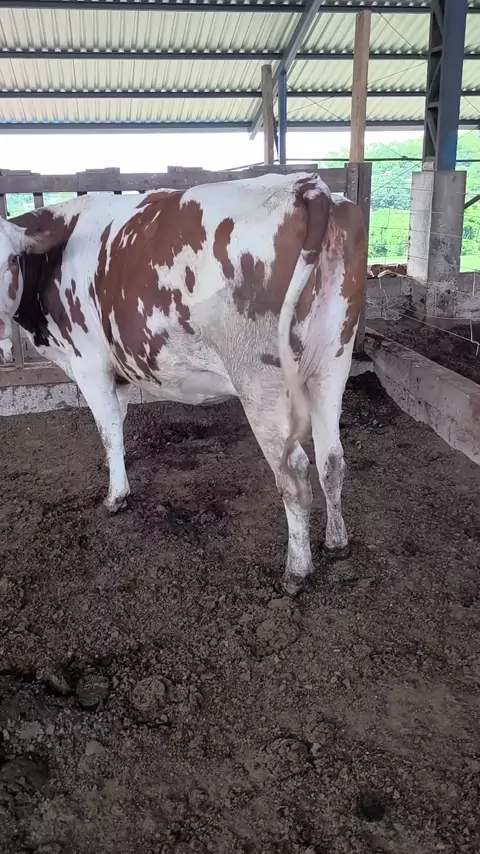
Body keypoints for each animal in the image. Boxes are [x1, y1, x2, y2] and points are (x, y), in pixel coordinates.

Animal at [0, 172, 367, 595]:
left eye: (10, 259)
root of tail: (306, 184)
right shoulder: (118, 371)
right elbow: (118, 428)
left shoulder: (88, 363)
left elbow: (107, 432)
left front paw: (115, 498)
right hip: (332, 363)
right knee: (331, 458)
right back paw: (337, 542)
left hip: (261, 381)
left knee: (293, 474)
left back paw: (297, 570)